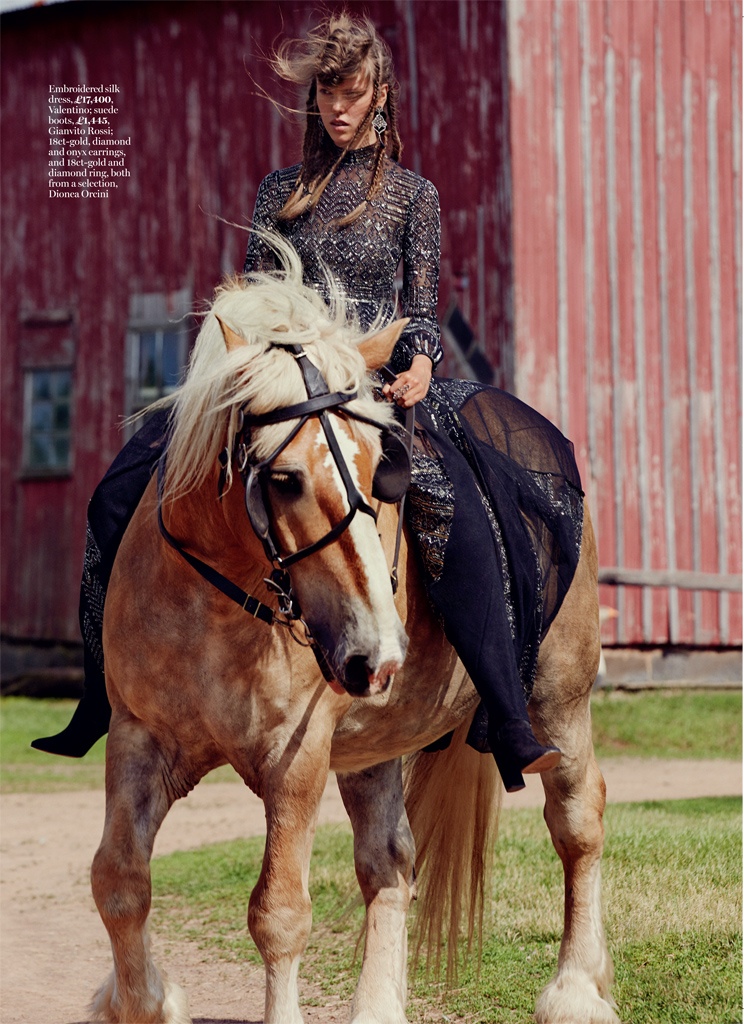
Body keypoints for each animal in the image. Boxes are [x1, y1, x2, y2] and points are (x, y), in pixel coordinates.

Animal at [88, 239, 618, 1024]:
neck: (215, 602)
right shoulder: (138, 739)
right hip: (373, 746)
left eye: (381, 468)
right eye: (282, 479)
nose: (380, 650)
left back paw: (576, 989)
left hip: (559, 702)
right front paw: (140, 1002)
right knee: (389, 862)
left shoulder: (296, 759)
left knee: (578, 824)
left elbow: (278, 913)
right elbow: (119, 883)